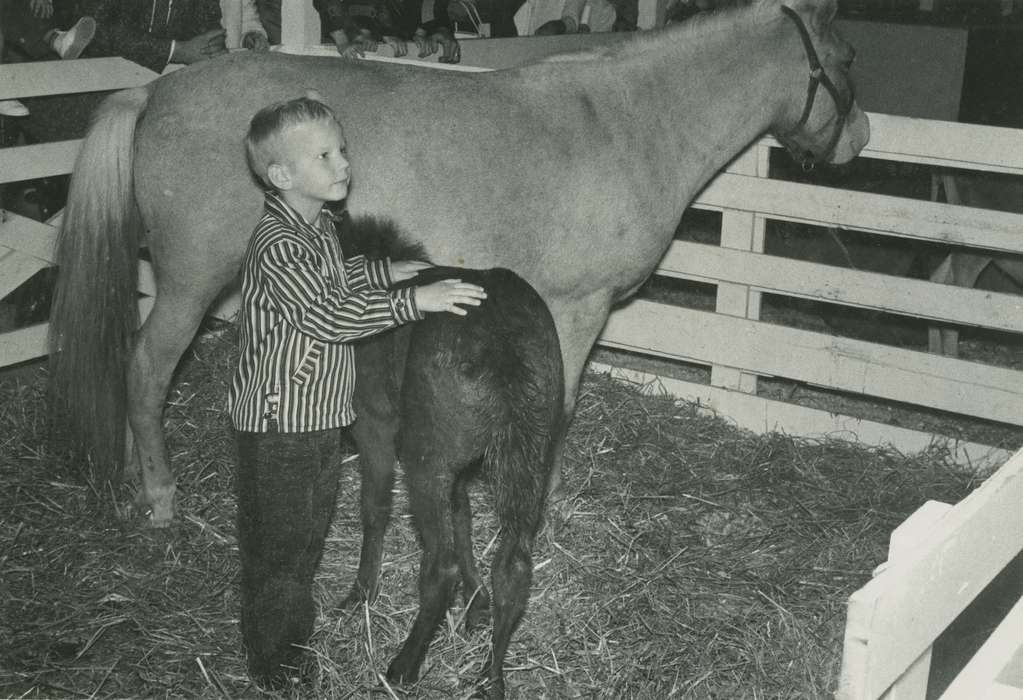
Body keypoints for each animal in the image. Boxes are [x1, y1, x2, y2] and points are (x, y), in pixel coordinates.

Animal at [48, 0, 867, 597]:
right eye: (847, 59)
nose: (860, 137)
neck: (624, 122)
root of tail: (156, 88)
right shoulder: (576, 307)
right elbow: (557, 408)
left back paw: (135, 473)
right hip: (191, 281)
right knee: (147, 367)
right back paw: (160, 495)